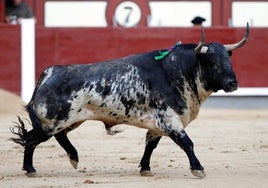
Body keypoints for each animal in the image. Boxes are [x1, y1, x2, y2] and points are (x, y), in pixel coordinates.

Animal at [10, 23, 249, 178]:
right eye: (213, 62)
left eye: (229, 60)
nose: (233, 83)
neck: (178, 71)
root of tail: (49, 72)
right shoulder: (169, 120)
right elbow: (186, 142)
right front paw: (198, 168)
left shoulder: (158, 124)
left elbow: (150, 145)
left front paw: (145, 169)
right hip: (51, 121)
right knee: (31, 139)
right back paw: (31, 170)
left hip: (70, 120)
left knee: (57, 136)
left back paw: (73, 158)